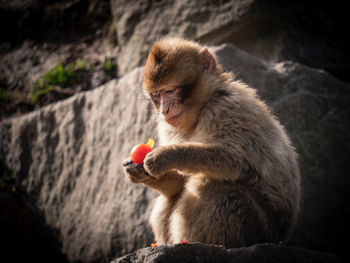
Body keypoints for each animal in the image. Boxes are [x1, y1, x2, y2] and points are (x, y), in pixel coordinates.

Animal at [121, 38, 300, 249]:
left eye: (170, 90)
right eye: (157, 95)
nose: (165, 110)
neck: (201, 108)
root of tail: (282, 236)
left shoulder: (226, 108)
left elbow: (235, 160)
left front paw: (166, 156)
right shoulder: (168, 127)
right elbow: (179, 184)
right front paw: (140, 172)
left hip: (259, 228)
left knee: (214, 187)